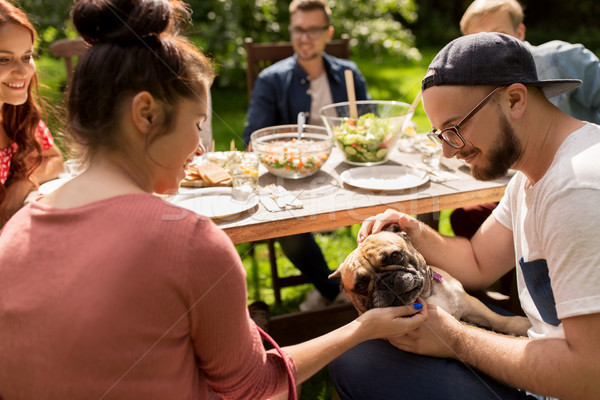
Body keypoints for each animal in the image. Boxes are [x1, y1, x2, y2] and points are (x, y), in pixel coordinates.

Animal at [330, 223, 532, 336]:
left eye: (396, 256)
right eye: (361, 285)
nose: (385, 282)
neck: (428, 294)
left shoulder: (470, 303)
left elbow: (496, 319)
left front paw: (522, 325)